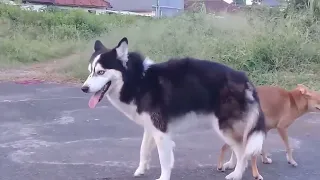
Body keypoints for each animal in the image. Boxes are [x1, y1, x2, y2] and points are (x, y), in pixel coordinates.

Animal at [81, 37, 266, 180]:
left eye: (101, 72)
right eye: (90, 71)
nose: (84, 88)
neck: (138, 80)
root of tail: (243, 78)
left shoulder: (161, 132)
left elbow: (164, 160)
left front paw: (163, 177)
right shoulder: (151, 127)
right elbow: (143, 150)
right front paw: (141, 170)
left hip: (223, 126)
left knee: (242, 151)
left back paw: (237, 173)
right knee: (240, 146)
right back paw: (232, 165)